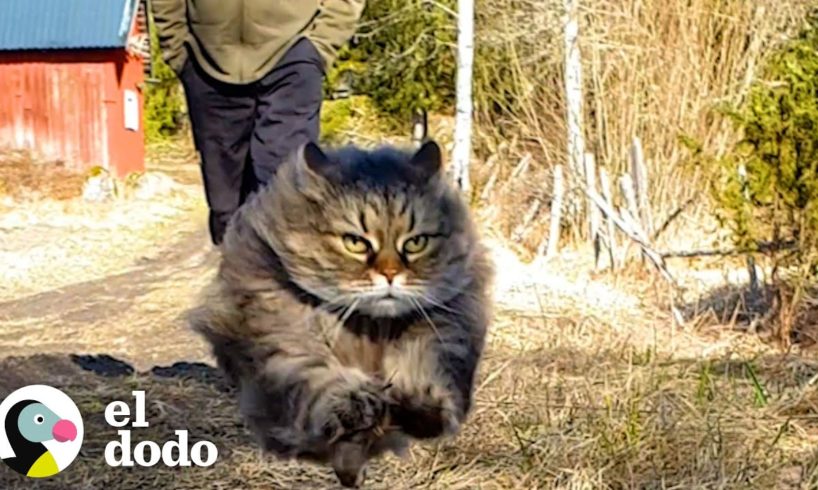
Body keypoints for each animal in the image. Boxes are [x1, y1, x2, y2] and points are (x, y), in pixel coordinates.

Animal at [190, 141, 490, 486]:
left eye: (416, 243)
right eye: (355, 243)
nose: (391, 275)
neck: (369, 328)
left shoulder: (445, 326)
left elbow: (421, 361)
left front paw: (419, 403)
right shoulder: (282, 336)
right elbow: (318, 374)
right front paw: (354, 404)